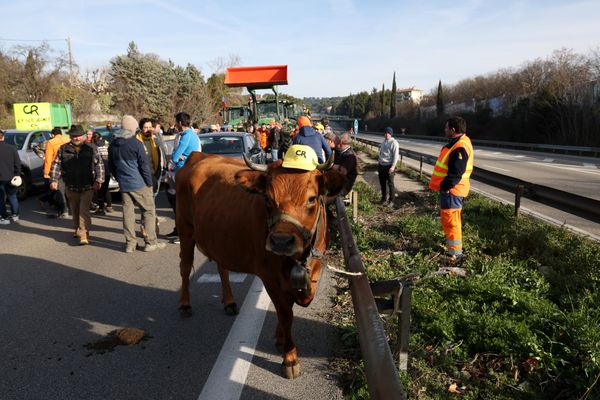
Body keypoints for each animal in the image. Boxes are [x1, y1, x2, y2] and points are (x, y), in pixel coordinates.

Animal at [175, 150, 342, 378]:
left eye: (311, 198)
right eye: (267, 198)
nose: (281, 241)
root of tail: (199, 155)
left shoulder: (315, 266)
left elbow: (296, 302)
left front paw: (280, 339)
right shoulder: (269, 276)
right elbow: (285, 313)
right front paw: (290, 358)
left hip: (219, 240)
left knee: (222, 268)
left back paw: (229, 302)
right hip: (185, 230)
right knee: (185, 268)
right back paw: (185, 304)